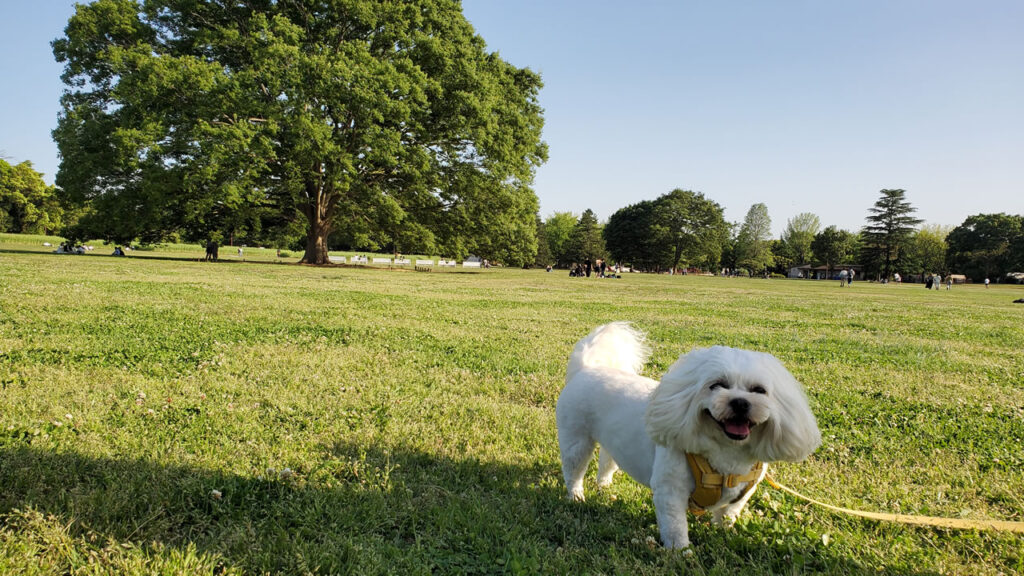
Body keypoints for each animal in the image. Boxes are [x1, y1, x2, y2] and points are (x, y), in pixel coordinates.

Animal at [557, 319, 819, 549]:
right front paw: (681, 553)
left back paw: (604, 484)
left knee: (607, 460)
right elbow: (675, 528)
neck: (727, 455)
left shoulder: (744, 492)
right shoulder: (670, 491)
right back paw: (577, 496)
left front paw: (724, 532)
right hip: (576, 440)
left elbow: (729, 513)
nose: (740, 402)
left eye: (759, 390)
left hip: (613, 441)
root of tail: (586, 368)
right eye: (716, 385)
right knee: (574, 471)